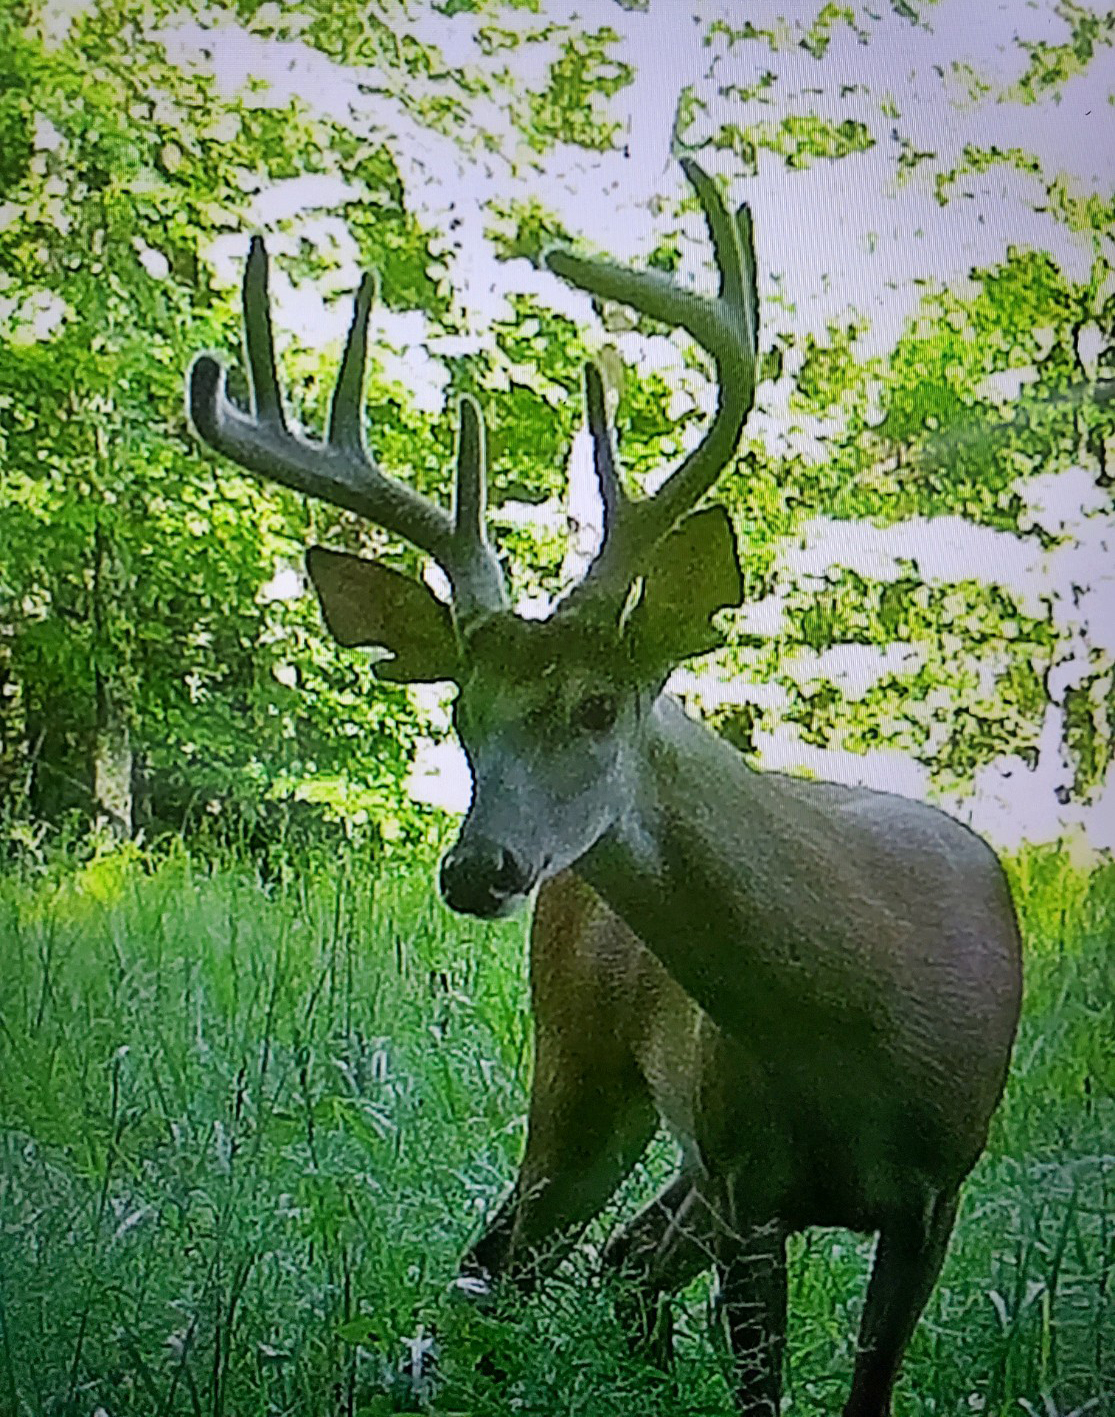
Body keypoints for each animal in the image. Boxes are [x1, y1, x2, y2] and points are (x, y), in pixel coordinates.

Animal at [186, 159, 1023, 1416]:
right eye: (458, 715)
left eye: (595, 705)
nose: (476, 868)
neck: (857, 1015)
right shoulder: (744, 1182)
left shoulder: (934, 1188)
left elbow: (866, 1381)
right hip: (580, 1073)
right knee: (510, 1263)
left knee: (615, 1257)